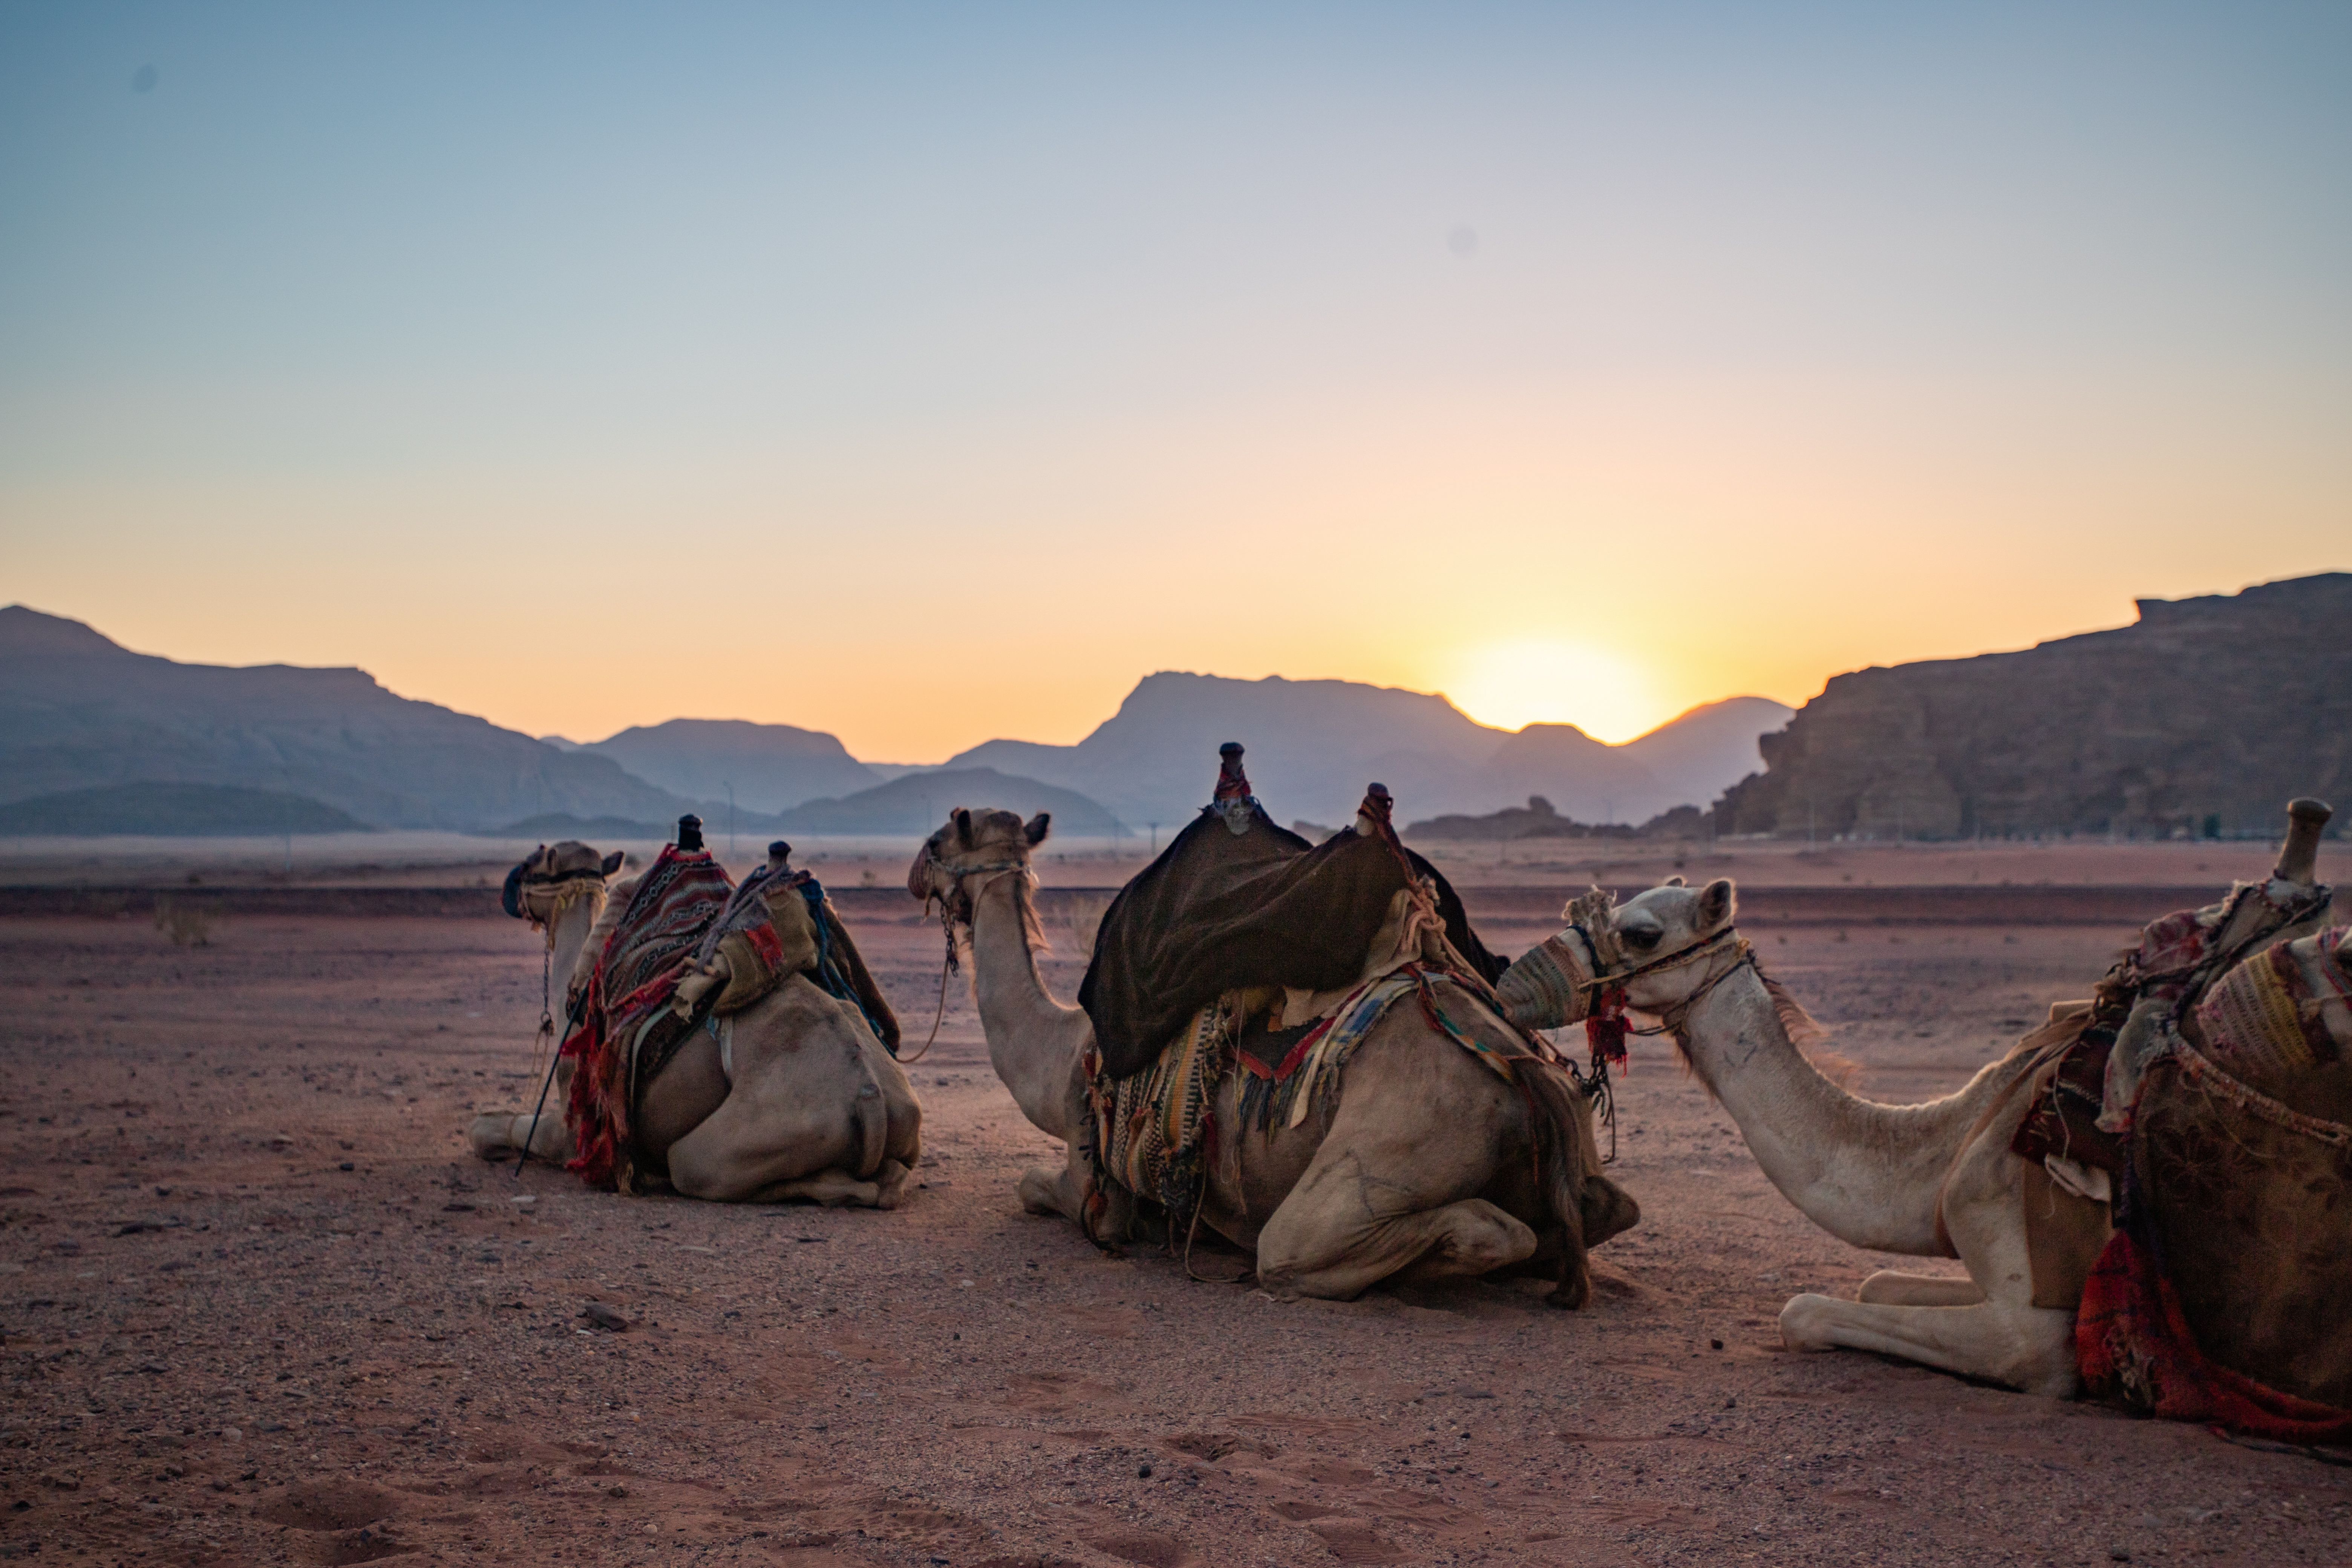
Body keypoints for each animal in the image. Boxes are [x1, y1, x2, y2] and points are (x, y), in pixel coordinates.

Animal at [469, 839, 923, 1207]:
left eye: (535, 861)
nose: (511, 882)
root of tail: (870, 1097)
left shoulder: (577, 1133)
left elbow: (489, 1129)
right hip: (901, 1121)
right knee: (890, 1179)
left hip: (727, 1148)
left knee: (702, 1170)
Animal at [904, 805, 1639, 1304]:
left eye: (938, 841)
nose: (914, 874)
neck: (1061, 1049)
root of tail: (1522, 1073)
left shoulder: (1093, 1172)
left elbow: (1033, 1190)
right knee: (1609, 1210)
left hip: (1389, 1152)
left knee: (1315, 1245)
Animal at [1491, 803, 2339, 1397]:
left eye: (1638, 932)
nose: (1515, 977)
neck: (1956, 1136)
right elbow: (1874, 1280)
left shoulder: (2038, 1323)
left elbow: (1809, 1310)